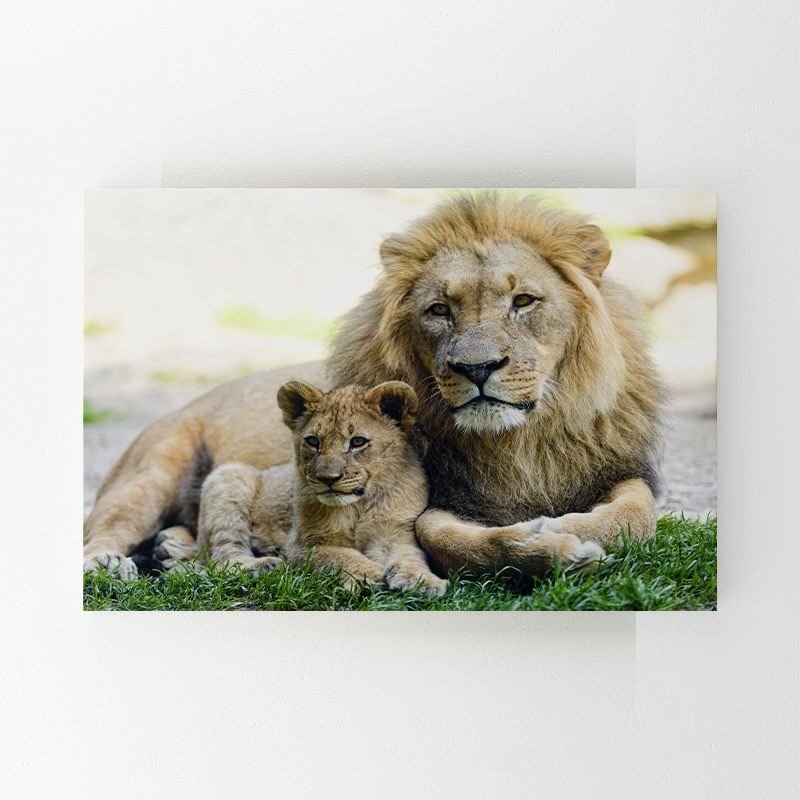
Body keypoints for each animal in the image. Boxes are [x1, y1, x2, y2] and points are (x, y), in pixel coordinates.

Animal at [196, 380, 448, 595]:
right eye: (313, 441)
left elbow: (410, 556)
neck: (358, 506)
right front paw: (372, 575)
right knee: (222, 559)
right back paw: (264, 564)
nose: (328, 478)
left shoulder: (394, 533)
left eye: (357, 442)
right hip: (229, 475)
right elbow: (341, 556)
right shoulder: (303, 546)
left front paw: (424, 581)